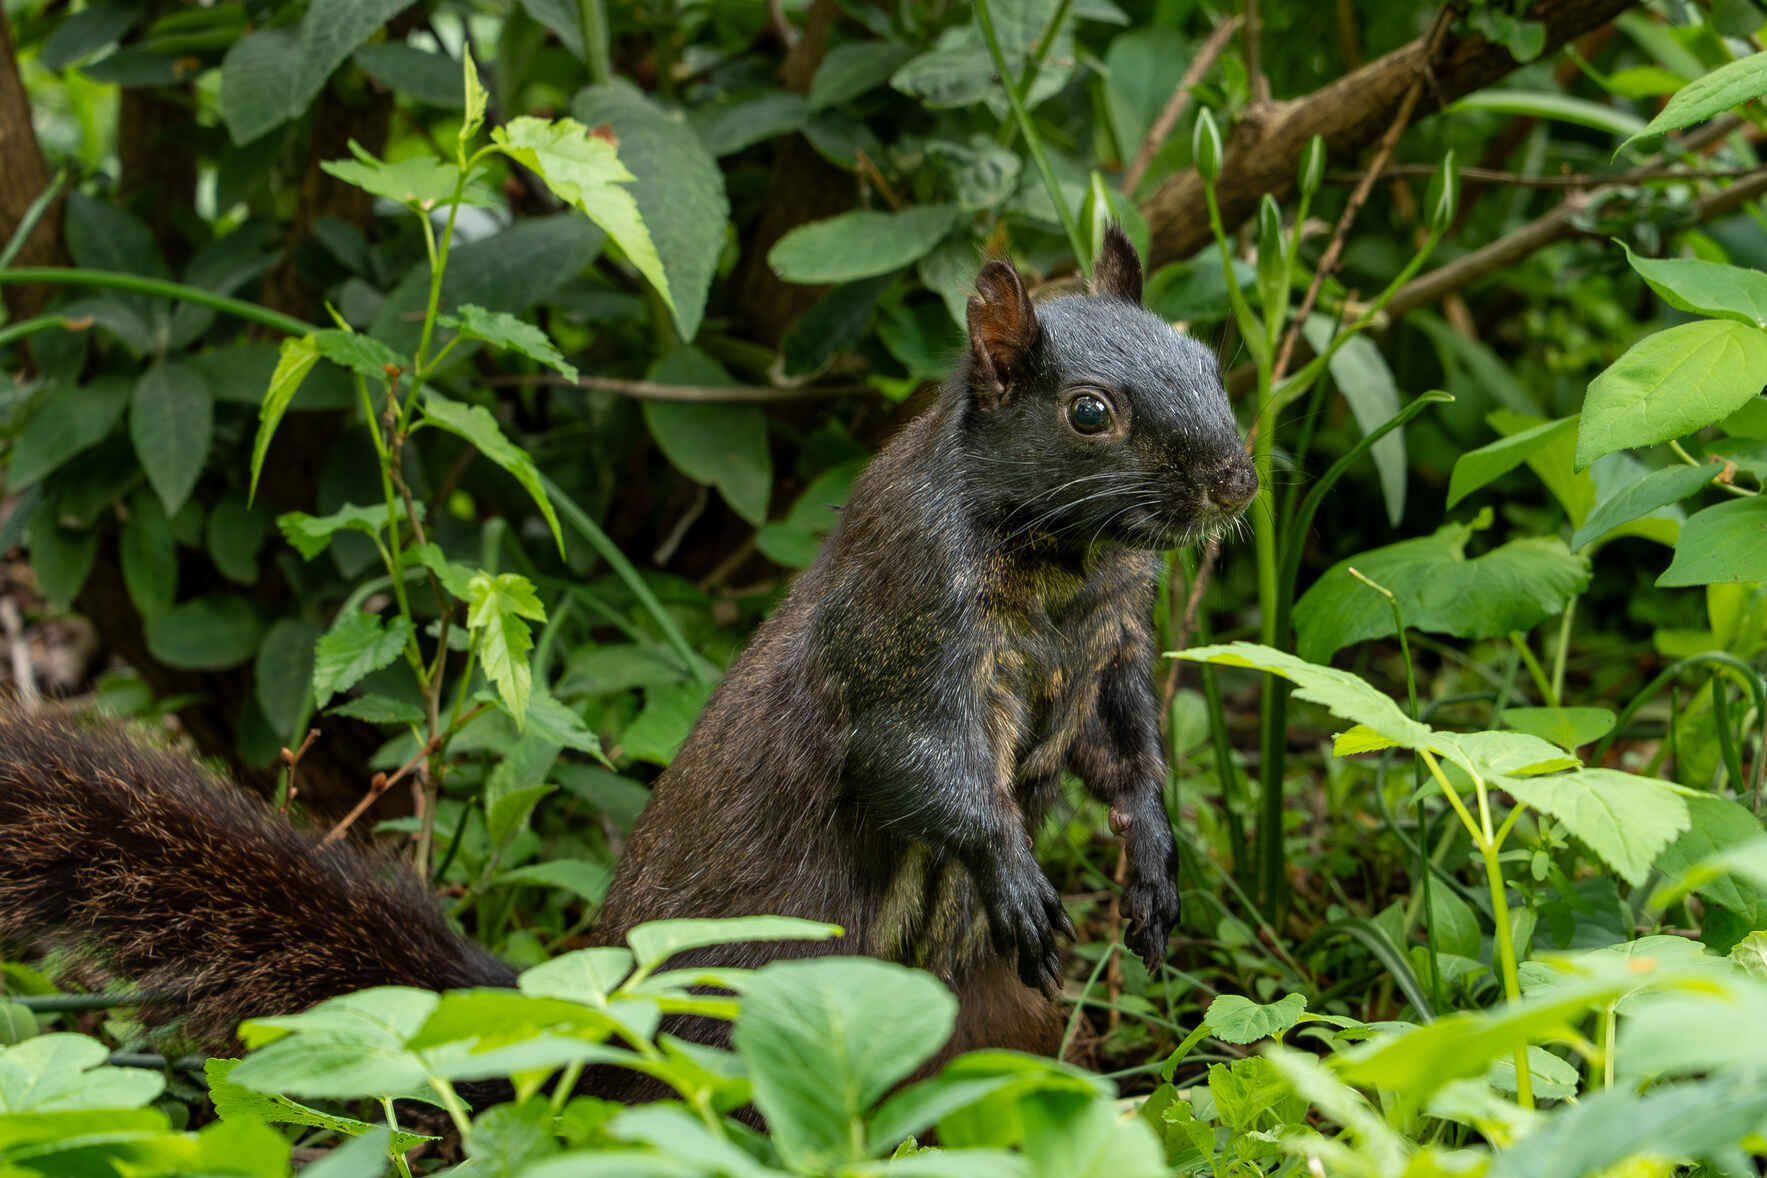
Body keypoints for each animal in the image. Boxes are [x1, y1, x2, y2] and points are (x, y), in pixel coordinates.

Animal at [0, 226, 1256, 1084]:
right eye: (1089, 413)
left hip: (1004, 1022)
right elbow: (918, 765)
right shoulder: (904, 627)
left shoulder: (1112, 646)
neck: (1067, 570)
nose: (1236, 481)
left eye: (1205, 355)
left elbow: (1126, 749)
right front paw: (1014, 868)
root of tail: (588, 1012)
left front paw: (1153, 855)